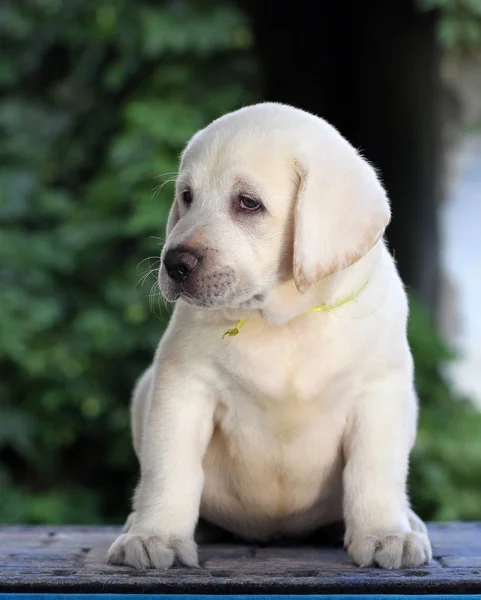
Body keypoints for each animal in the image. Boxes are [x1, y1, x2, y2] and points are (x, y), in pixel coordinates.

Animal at [108, 102, 432, 568]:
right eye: (187, 196)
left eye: (248, 203)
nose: (173, 263)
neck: (283, 323)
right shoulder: (183, 385)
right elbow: (169, 467)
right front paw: (155, 536)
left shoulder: (379, 391)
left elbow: (375, 470)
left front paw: (386, 534)